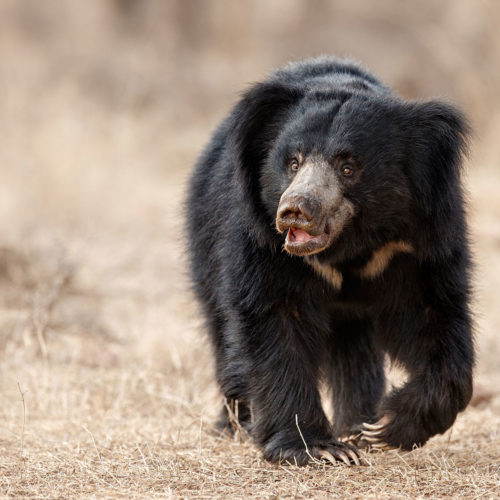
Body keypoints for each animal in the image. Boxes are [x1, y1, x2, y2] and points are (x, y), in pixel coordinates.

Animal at [187, 56, 472, 466]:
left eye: (347, 167)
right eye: (293, 162)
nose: (295, 211)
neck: (347, 247)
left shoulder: (417, 240)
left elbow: (433, 314)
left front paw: (385, 426)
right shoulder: (261, 241)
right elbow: (275, 320)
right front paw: (320, 448)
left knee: (355, 350)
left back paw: (357, 423)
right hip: (204, 242)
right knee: (222, 332)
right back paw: (236, 423)